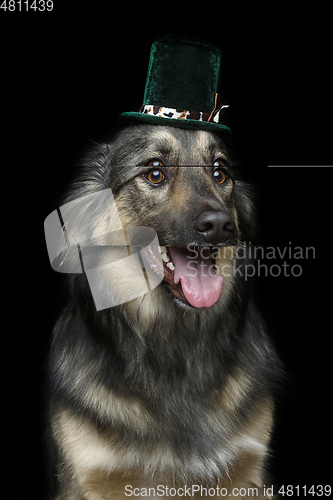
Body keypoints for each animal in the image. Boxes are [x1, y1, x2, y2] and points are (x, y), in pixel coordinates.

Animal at [46, 123, 282, 498]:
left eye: (220, 172)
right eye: (154, 173)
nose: (220, 225)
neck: (173, 345)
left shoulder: (247, 472)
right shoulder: (91, 475)